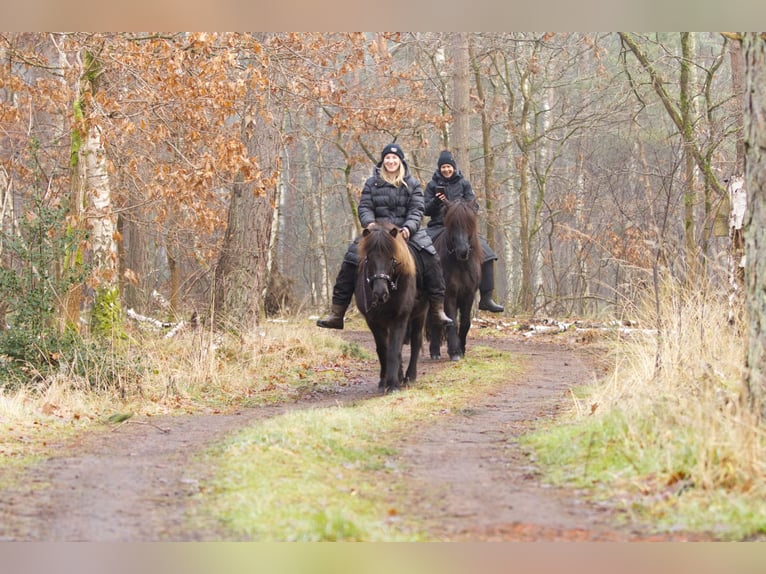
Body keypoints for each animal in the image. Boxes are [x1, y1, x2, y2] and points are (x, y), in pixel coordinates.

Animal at [356, 223, 428, 394]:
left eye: (392, 258)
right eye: (369, 258)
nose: (380, 293)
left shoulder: (399, 318)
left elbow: (394, 349)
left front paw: (394, 385)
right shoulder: (373, 322)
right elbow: (383, 349)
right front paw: (384, 381)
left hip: (420, 314)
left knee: (416, 341)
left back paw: (409, 377)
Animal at [428, 200, 484, 362]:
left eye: (470, 223)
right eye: (452, 225)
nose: (462, 251)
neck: (461, 265)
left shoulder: (469, 294)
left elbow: (465, 322)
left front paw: (462, 349)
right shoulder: (449, 295)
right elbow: (452, 321)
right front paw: (454, 352)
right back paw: (434, 351)